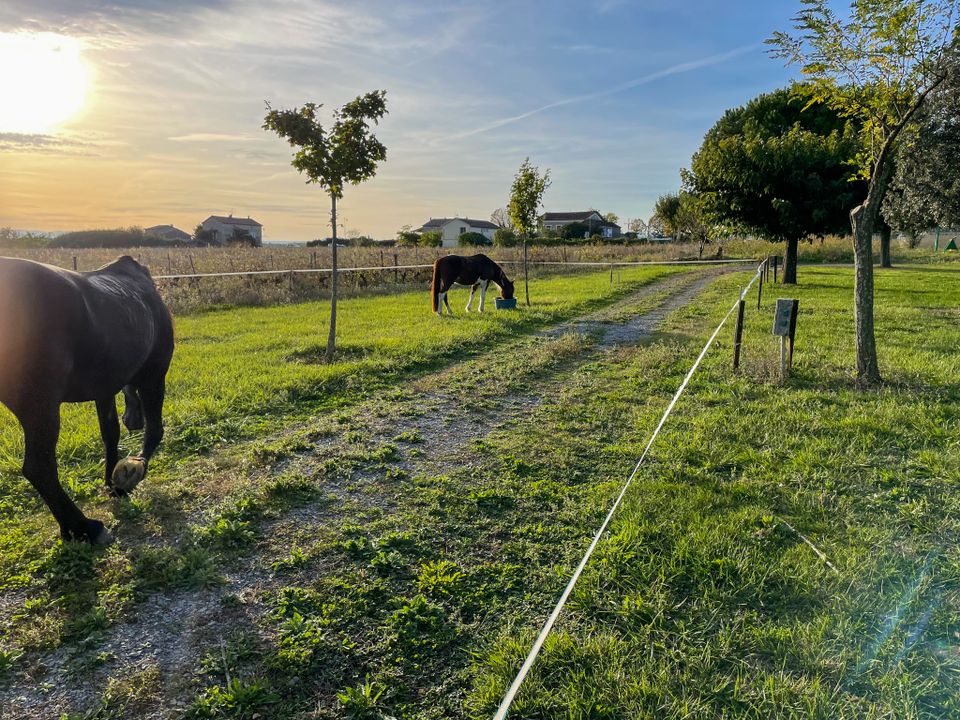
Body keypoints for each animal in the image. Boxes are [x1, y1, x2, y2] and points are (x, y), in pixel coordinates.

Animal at [0, 256, 174, 544]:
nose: (132, 420)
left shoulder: (104, 390)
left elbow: (110, 433)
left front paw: (113, 481)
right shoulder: (154, 375)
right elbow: (154, 431)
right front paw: (133, 470)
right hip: (41, 406)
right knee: (39, 468)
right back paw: (84, 527)